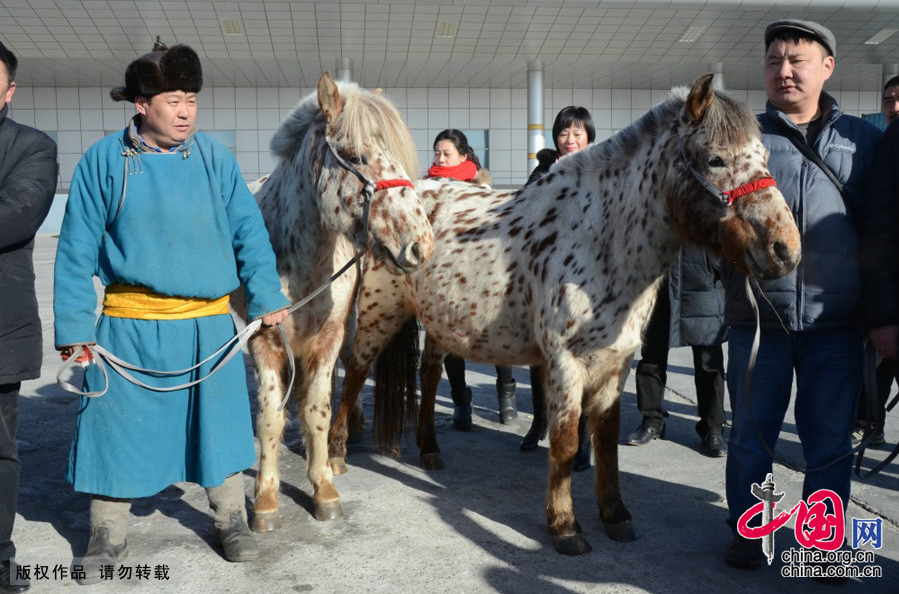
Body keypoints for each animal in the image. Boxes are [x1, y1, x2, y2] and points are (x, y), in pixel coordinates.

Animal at [232, 71, 436, 528]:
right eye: (357, 156)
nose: (421, 245)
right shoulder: (264, 339)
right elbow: (270, 415)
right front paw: (266, 499)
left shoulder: (328, 335)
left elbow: (319, 409)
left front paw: (323, 485)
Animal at [326, 73, 800, 552]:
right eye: (715, 158)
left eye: (763, 157)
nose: (786, 249)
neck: (599, 238)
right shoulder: (564, 362)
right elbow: (567, 440)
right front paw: (565, 526)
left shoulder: (616, 363)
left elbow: (605, 440)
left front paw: (616, 515)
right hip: (378, 315)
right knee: (354, 374)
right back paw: (336, 454)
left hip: (439, 324)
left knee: (426, 375)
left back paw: (429, 451)